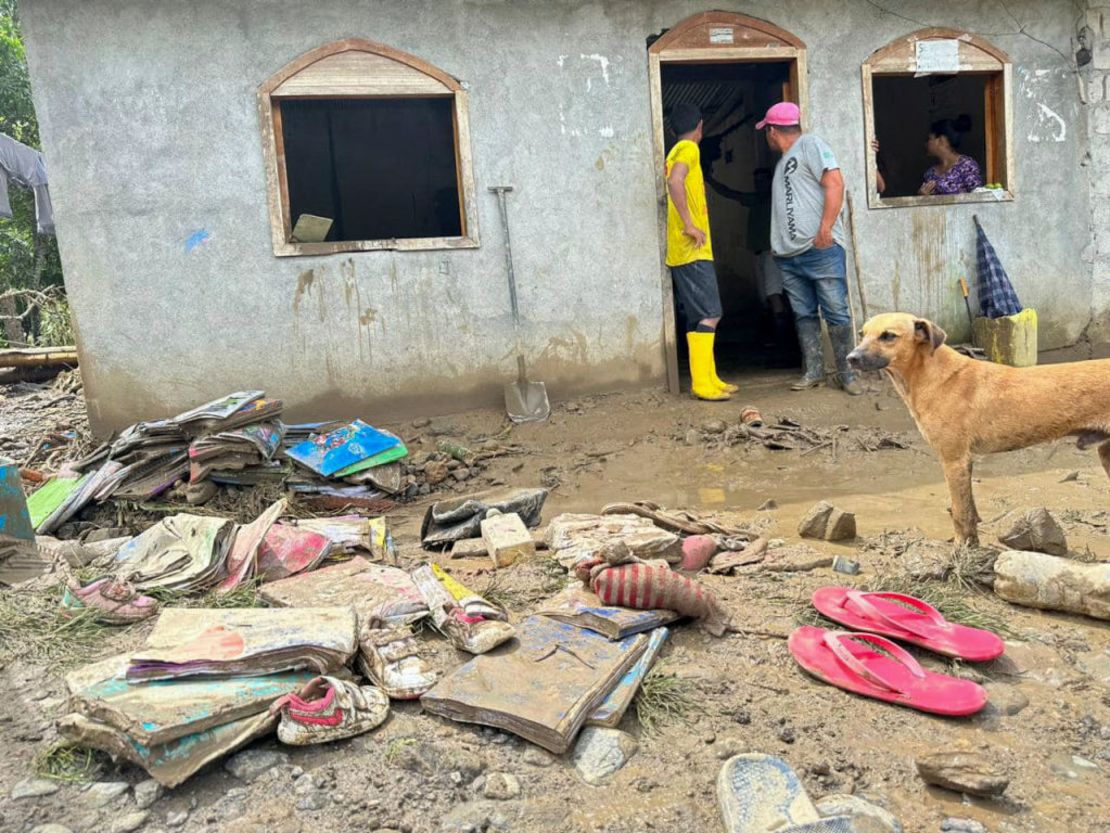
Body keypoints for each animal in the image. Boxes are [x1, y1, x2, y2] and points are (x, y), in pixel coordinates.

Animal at [848, 313, 1110, 548]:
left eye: (888, 336)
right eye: (861, 334)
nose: (851, 358)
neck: (933, 375)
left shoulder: (954, 460)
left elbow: (960, 513)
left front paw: (961, 550)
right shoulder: (966, 462)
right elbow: (970, 511)